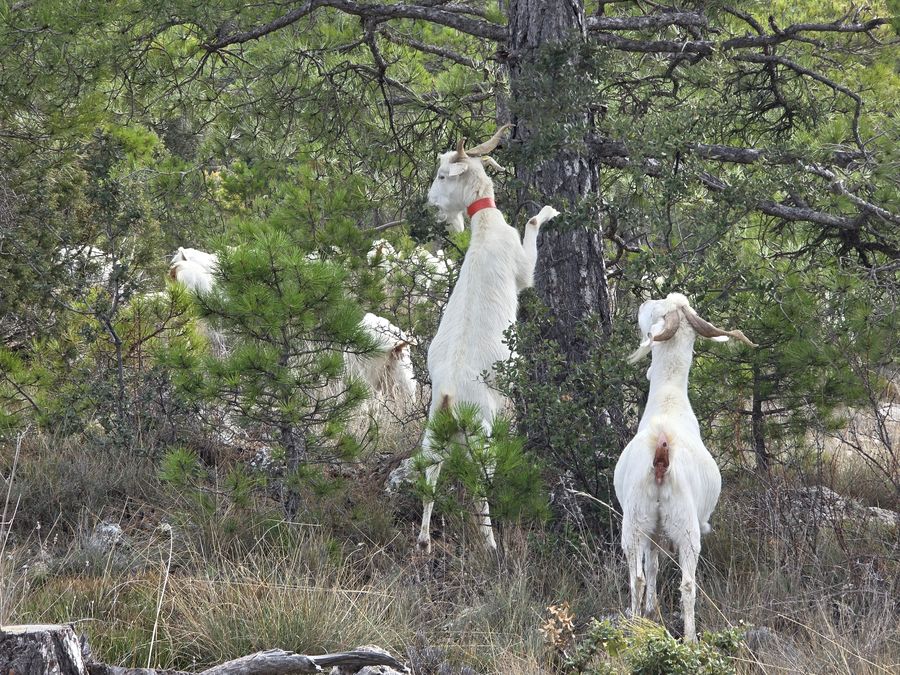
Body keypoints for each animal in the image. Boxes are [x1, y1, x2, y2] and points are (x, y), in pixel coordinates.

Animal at [417, 125, 559, 552]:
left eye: (442, 175)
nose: (430, 203)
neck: (485, 228)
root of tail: (449, 395)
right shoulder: (523, 267)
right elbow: (531, 228)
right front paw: (549, 211)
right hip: (483, 431)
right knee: (480, 484)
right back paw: (491, 542)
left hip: (432, 429)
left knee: (429, 474)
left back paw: (424, 540)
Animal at [614, 292, 756, 641]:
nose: (642, 304)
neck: (668, 401)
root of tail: (661, 447)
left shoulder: (653, 531)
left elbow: (651, 567)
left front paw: (651, 612)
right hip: (686, 526)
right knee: (688, 583)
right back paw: (690, 639)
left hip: (635, 522)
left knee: (636, 577)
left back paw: (635, 624)